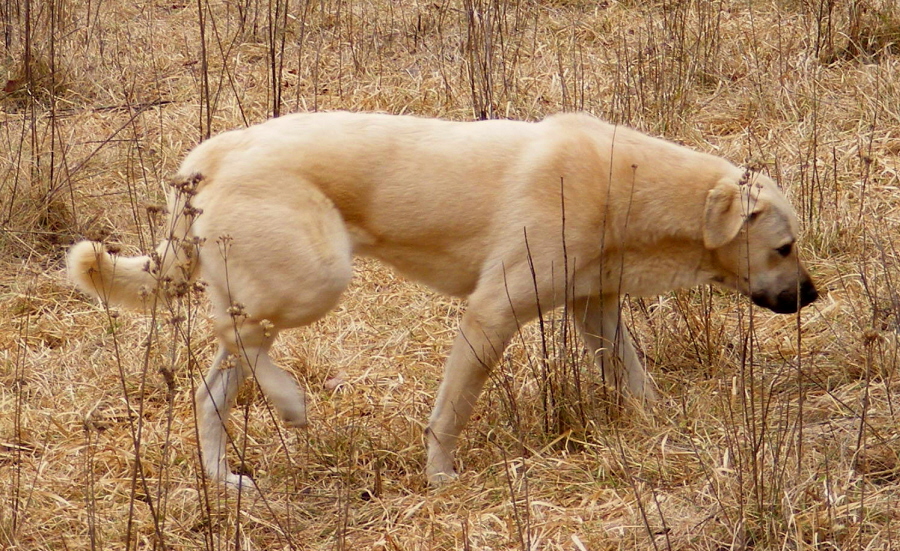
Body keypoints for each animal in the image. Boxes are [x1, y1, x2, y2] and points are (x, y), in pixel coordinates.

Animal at [67, 111, 820, 488]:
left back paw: (227, 479)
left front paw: (663, 426)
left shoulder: (595, 310)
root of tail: (212, 152)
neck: (623, 185)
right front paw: (440, 477)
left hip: (273, 294)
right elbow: (450, 412)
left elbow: (635, 378)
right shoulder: (492, 313)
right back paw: (290, 403)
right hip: (316, 279)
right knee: (227, 337)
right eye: (785, 247)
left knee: (211, 384)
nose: (814, 295)